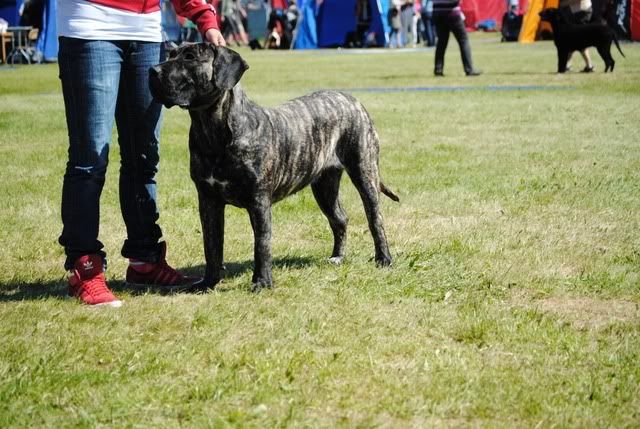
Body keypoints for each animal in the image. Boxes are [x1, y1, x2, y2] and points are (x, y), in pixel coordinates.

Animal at [151, 44, 400, 290]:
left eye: (190, 57)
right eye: (170, 54)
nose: (153, 71)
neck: (212, 132)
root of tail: (351, 99)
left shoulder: (259, 201)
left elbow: (261, 243)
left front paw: (262, 282)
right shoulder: (208, 200)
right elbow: (211, 244)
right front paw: (208, 283)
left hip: (364, 173)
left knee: (375, 219)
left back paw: (383, 259)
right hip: (324, 187)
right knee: (339, 218)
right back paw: (337, 257)